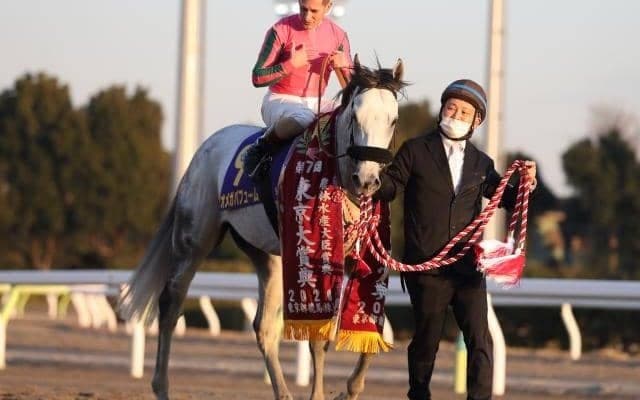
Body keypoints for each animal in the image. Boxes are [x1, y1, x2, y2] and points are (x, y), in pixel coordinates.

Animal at [118, 56, 407, 400]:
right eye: (355, 116)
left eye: (393, 120)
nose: (366, 180)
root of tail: (203, 150)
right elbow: (319, 338)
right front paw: (321, 395)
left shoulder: (357, 258)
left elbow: (373, 327)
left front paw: (349, 390)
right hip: (194, 240)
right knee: (170, 304)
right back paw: (161, 386)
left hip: (269, 256)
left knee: (264, 326)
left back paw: (283, 393)